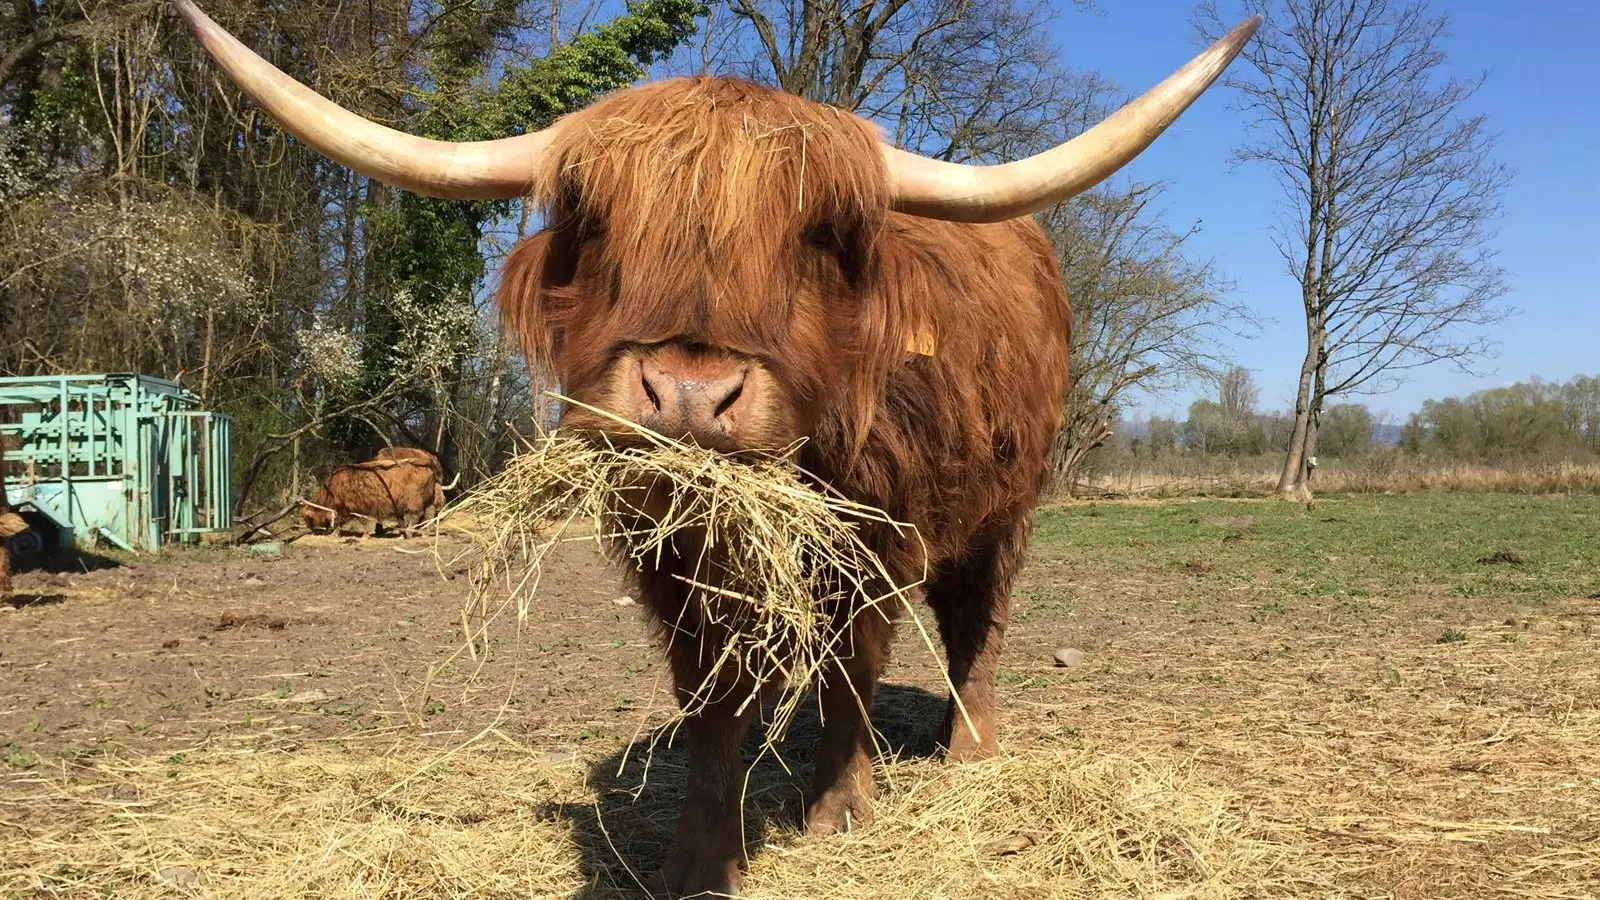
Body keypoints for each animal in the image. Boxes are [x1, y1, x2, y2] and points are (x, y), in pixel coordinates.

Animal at [175, 1, 1259, 894]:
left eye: (816, 236)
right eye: (595, 221)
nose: (690, 397)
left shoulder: (878, 540)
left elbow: (853, 670)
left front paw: (838, 810)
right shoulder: (675, 568)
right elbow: (713, 702)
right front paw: (701, 857)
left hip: (1009, 504)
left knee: (975, 626)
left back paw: (971, 753)